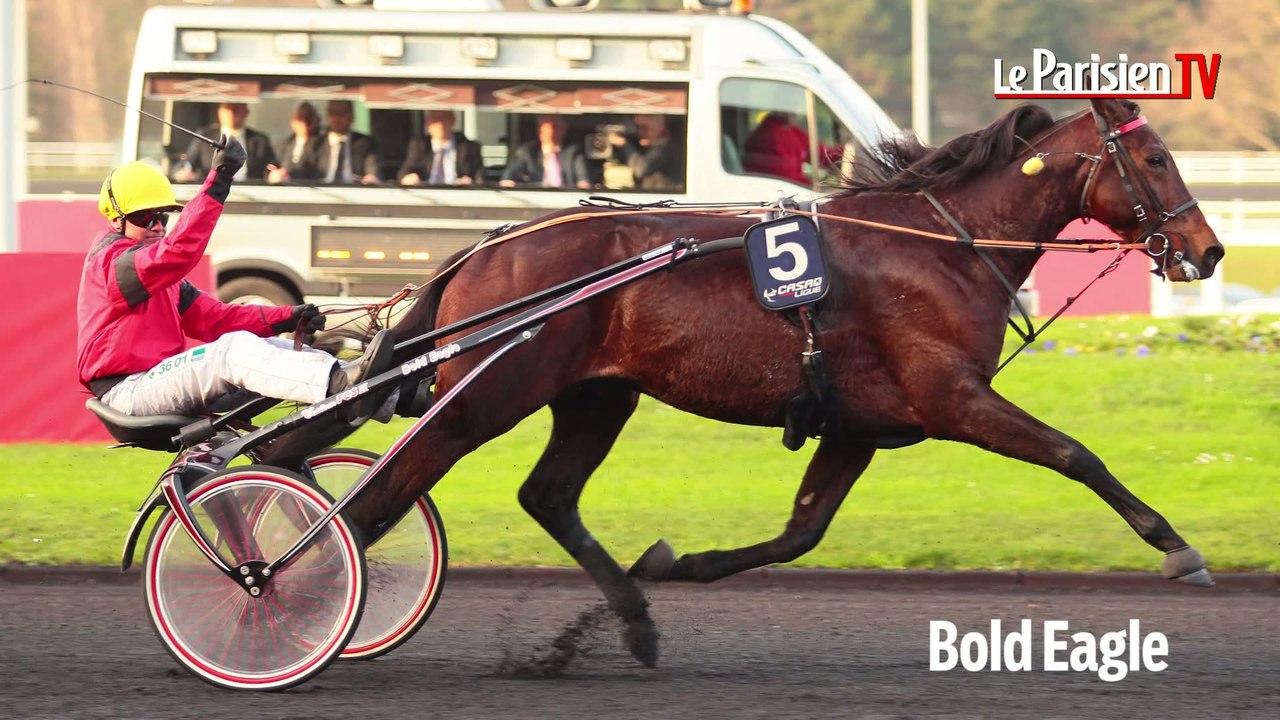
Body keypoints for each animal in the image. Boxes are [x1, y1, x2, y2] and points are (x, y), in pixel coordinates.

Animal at [280, 98, 1223, 667]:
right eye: (1156, 158)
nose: (1207, 249)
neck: (942, 247)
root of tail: (486, 247)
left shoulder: (861, 424)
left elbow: (801, 532)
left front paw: (680, 562)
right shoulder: (951, 398)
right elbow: (1075, 454)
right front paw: (1177, 546)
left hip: (597, 394)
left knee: (545, 494)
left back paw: (634, 618)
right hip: (487, 391)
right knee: (387, 490)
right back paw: (303, 593)